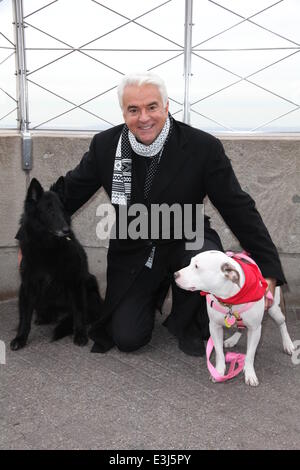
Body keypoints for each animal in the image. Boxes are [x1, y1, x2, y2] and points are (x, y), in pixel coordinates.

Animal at [10, 176, 103, 348]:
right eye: (49, 211)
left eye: (62, 210)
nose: (66, 230)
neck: (48, 245)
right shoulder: (27, 285)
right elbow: (24, 317)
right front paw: (20, 338)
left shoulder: (76, 283)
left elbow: (79, 312)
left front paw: (80, 335)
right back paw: (43, 318)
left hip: (90, 283)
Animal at [175, 250, 294, 386]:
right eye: (190, 262)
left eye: (196, 267)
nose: (175, 274)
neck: (230, 299)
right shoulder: (214, 327)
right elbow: (219, 353)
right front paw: (218, 372)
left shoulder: (255, 329)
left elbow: (250, 355)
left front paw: (249, 374)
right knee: (240, 327)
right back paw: (232, 340)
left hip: (275, 309)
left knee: (282, 324)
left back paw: (288, 344)